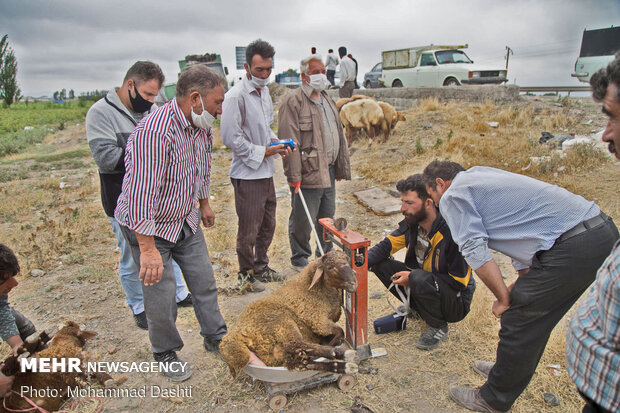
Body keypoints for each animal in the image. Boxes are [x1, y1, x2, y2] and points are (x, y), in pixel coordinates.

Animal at [222, 249, 358, 378]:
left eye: (348, 260)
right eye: (330, 267)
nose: (353, 283)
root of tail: (234, 337)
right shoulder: (317, 320)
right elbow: (340, 332)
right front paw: (333, 345)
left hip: (274, 355)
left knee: (299, 362)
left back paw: (343, 366)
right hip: (281, 322)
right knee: (294, 345)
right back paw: (340, 354)